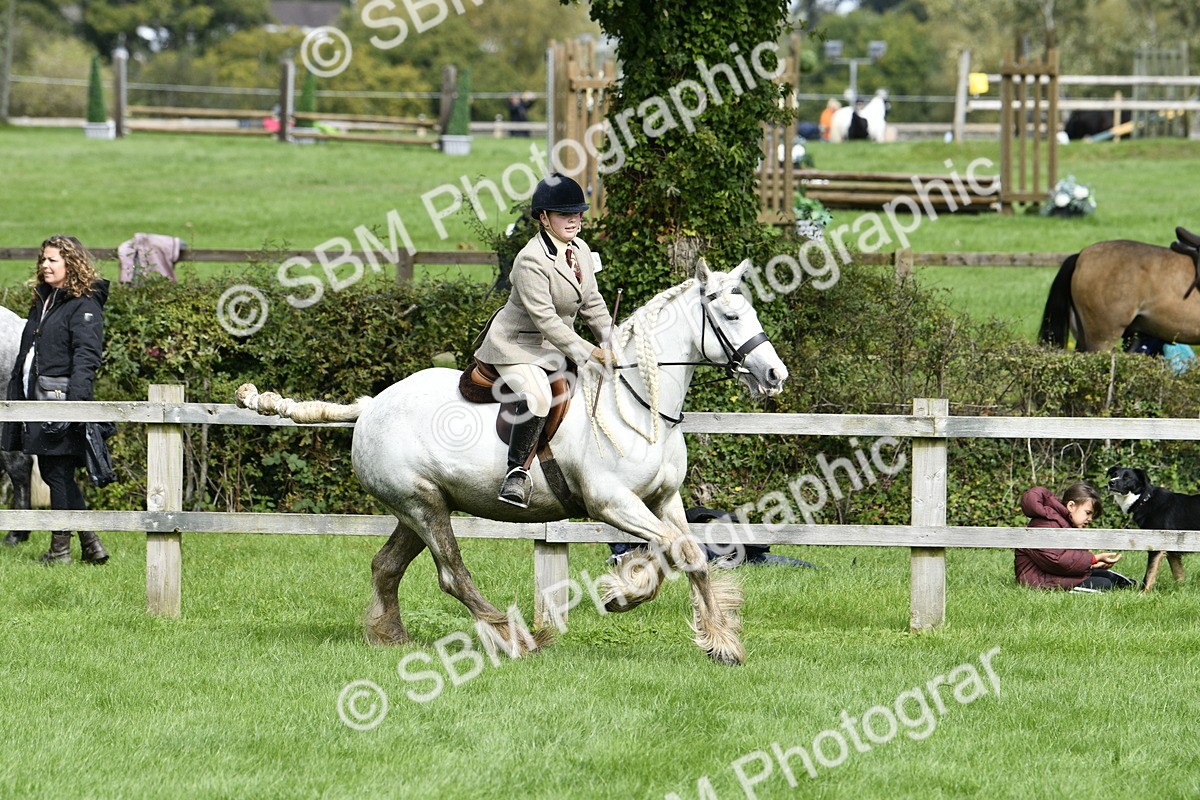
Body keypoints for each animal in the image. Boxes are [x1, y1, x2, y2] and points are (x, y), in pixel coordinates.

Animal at [236, 259, 789, 665]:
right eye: (732, 317)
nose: (775, 375)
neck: (637, 403)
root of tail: (371, 406)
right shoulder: (612, 502)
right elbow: (679, 550)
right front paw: (625, 594)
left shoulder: (663, 499)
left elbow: (688, 553)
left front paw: (718, 641)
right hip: (422, 505)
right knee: (451, 575)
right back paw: (516, 638)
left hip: (416, 508)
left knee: (386, 566)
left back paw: (391, 636)